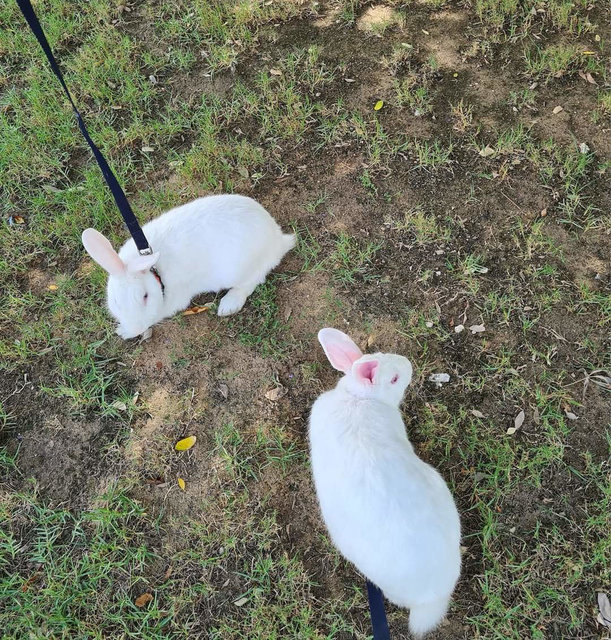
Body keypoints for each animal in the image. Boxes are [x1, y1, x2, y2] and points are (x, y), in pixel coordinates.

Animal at [82, 194, 296, 340]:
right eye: (115, 301)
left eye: (145, 296)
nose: (135, 328)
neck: (156, 272)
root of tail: (277, 238)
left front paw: (124, 332)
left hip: (242, 269)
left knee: (252, 281)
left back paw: (228, 305)